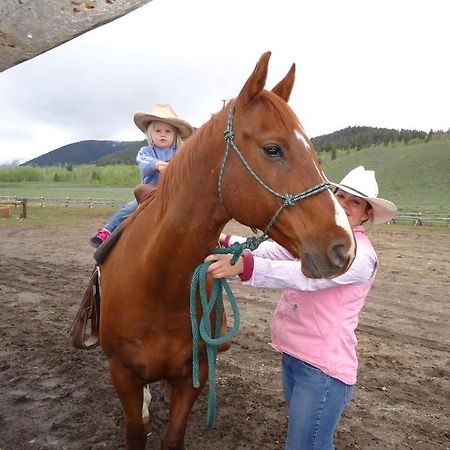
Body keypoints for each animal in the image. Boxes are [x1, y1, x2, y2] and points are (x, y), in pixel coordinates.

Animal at [97, 51, 356, 448]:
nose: (344, 247)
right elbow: (135, 431)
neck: (158, 282)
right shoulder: (123, 374)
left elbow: (173, 436)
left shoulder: (194, 375)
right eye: (272, 149)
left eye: (314, 151)